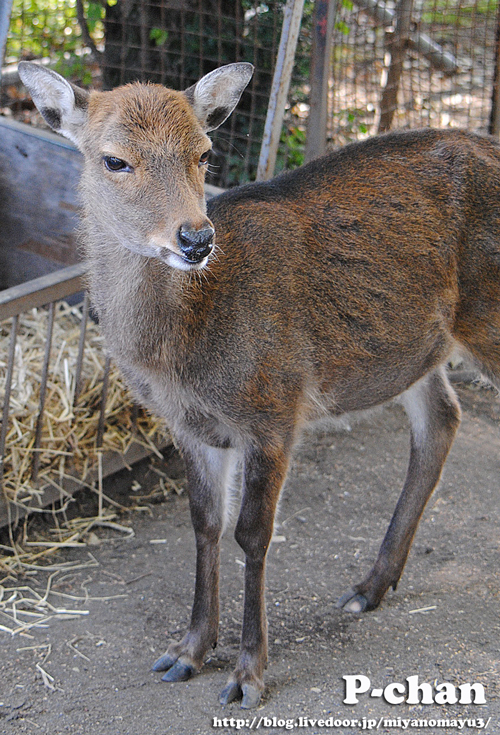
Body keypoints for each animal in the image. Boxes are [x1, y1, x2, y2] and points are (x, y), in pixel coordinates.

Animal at [18, 60, 500, 712]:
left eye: (203, 153)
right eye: (114, 160)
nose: (195, 239)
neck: (182, 357)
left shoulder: (275, 406)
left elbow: (252, 533)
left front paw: (249, 674)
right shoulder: (190, 426)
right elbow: (205, 523)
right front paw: (186, 652)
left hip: (486, 321)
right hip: (414, 347)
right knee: (442, 419)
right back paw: (370, 587)